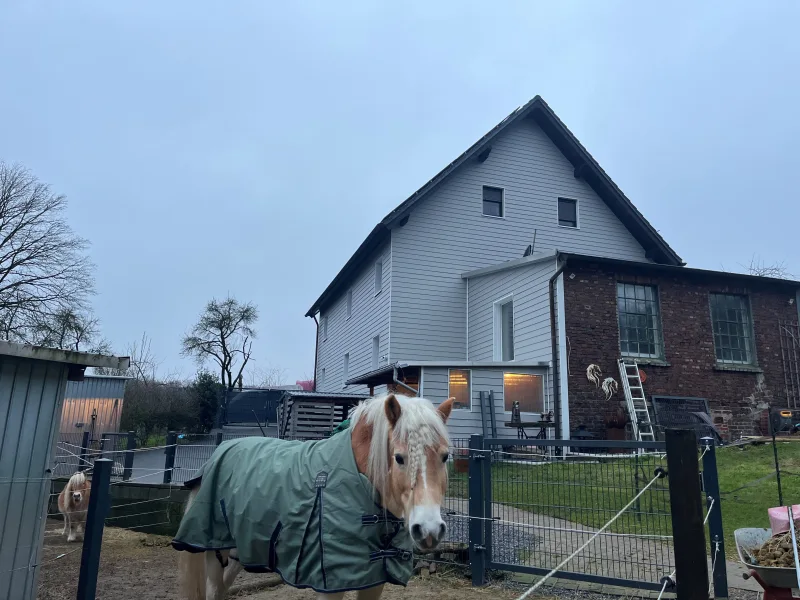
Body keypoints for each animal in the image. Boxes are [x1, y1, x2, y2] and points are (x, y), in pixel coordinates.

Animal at [172, 394, 454, 600]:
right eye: (399, 458)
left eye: (444, 456)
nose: (429, 529)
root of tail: (220, 451)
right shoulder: (331, 584)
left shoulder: (374, 581)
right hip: (213, 552)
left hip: (239, 554)